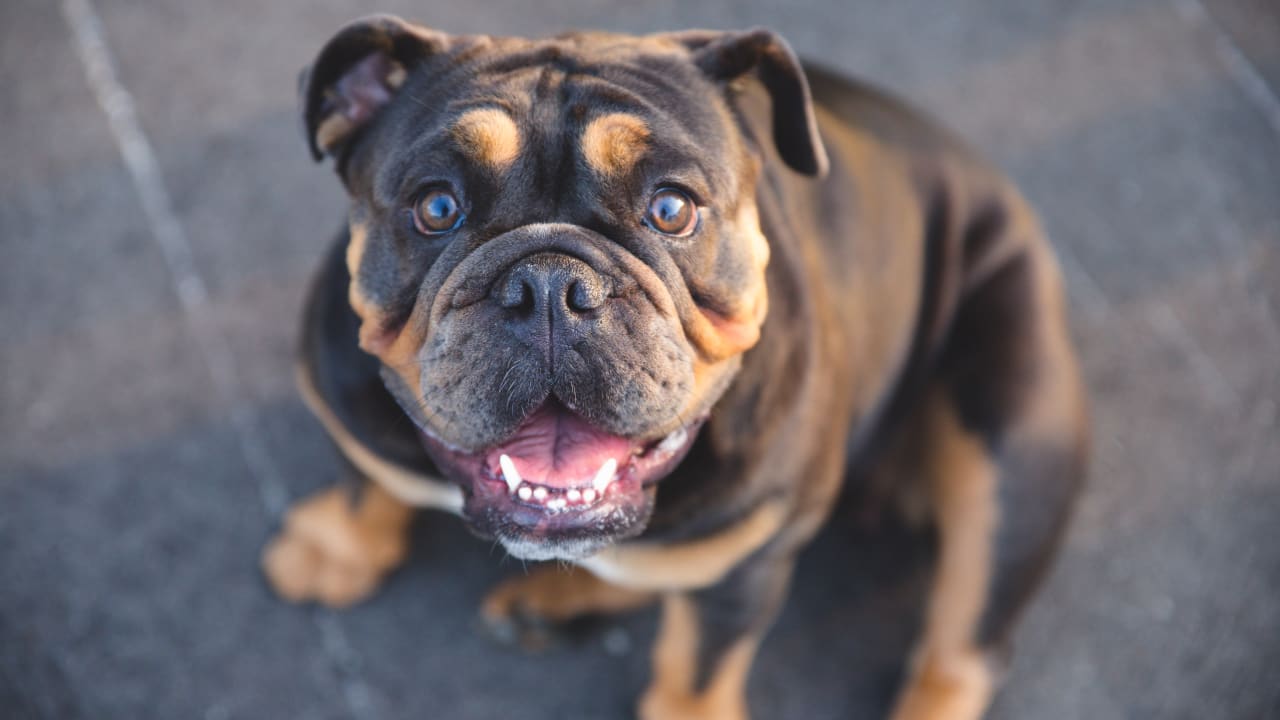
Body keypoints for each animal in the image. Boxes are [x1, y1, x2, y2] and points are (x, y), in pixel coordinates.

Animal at [262, 12, 1090, 717]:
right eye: (436, 207)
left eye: (672, 208)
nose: (550, 285)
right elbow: (365, 478)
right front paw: (336, 548)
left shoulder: (745, 567)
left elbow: (698, 663)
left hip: (1012, 457)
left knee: (962, 649)